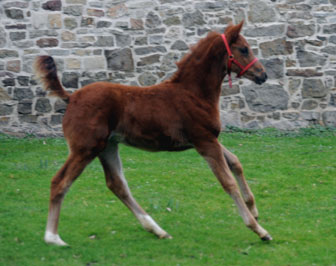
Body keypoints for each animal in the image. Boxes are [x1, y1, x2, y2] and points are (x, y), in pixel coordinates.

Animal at [34, 21, 270, 246]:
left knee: (117, 185)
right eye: (243, 49)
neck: (193, 93)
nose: (263, 74)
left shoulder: (208, 139)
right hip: (85, 148)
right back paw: (52, 237)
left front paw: (255, 211)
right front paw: (258, 229)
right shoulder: (204, 141)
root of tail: (72, 97)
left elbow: (235, 162)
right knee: (60, 182)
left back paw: (157, 230)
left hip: (108, 146)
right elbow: (227, 182)